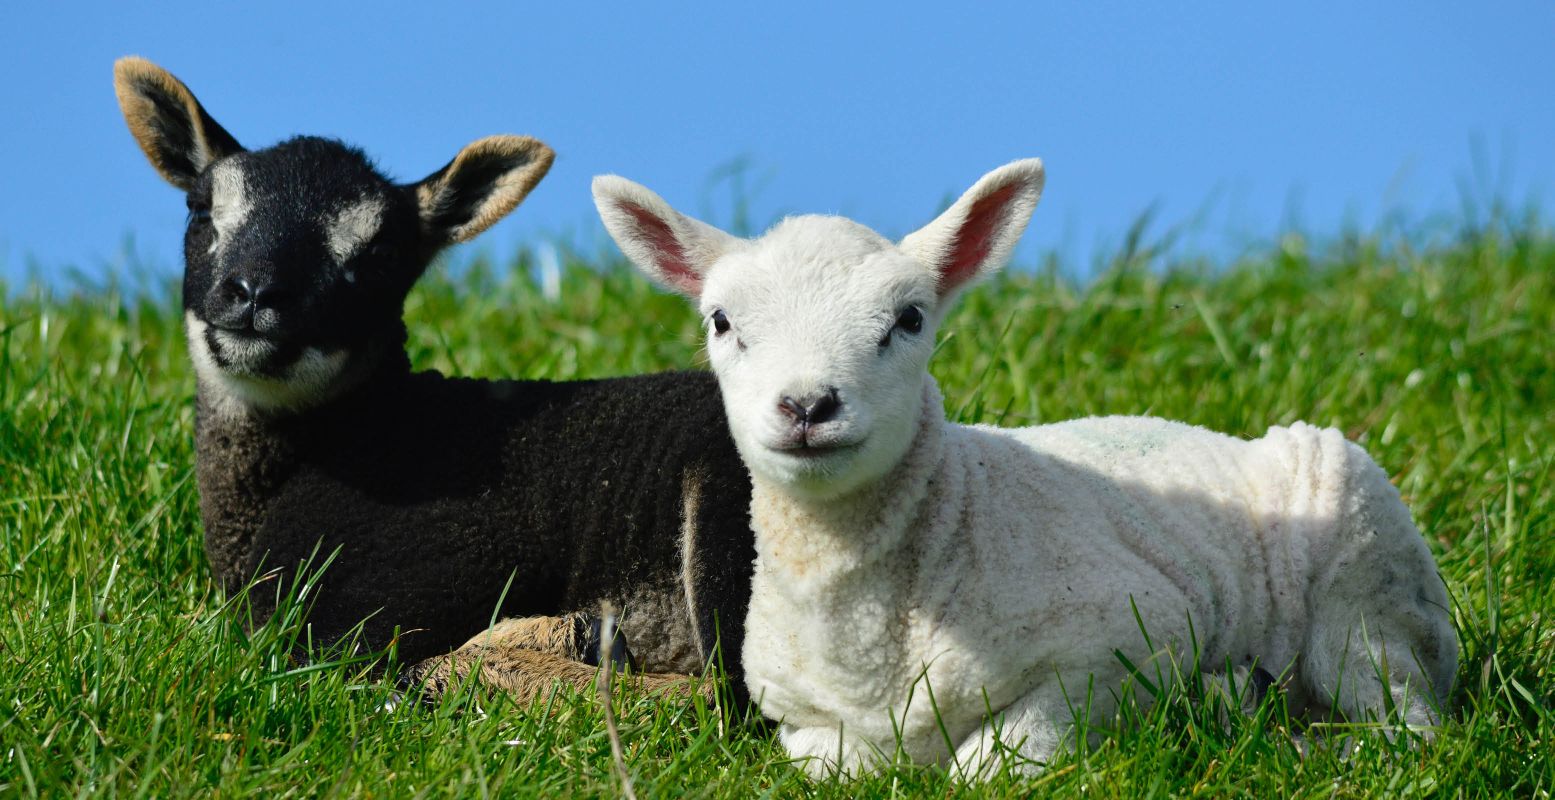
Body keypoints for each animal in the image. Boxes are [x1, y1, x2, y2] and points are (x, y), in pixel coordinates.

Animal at [590, 158, 1455, 775]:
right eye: (721, 321)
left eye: (909, 319)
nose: (807, 405)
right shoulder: (799, 723)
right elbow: (834, 765)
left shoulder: (1123, 640)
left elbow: (993, 763)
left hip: (1366, 591)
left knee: (1408, 725)